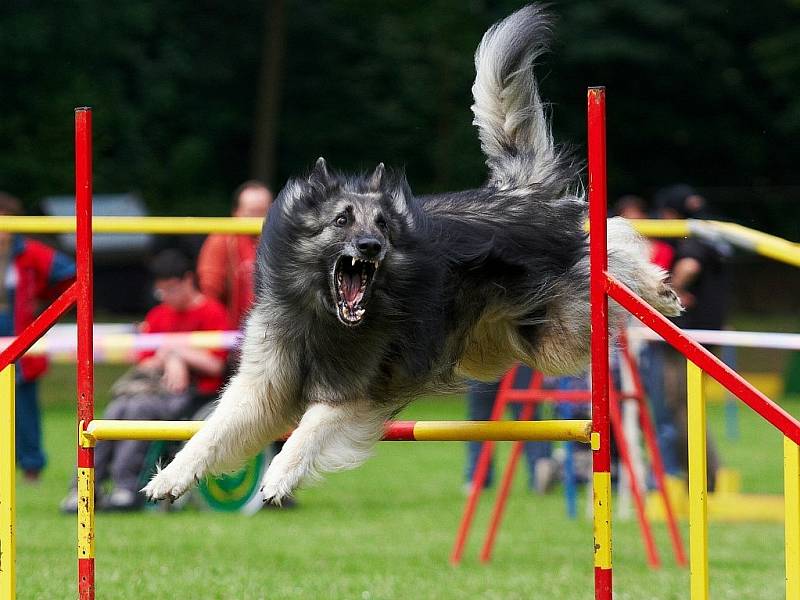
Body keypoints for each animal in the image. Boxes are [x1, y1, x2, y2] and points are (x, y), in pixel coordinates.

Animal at [145, 4, 680, 504]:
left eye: (382, 224)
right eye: (342, 221)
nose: (371, 247)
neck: (324, 314)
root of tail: (521, 191)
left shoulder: (356, 394)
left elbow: (307, 428)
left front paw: (278, 476)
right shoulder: (263, 388)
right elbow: (211, 432)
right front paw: (170, 477)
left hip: (559, 335)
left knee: (614, 240)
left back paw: (659, 290)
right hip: (493, 343)